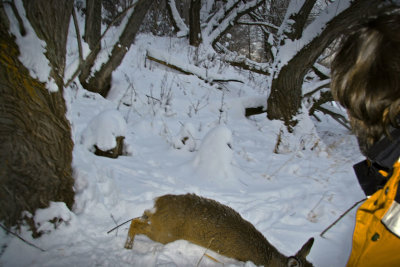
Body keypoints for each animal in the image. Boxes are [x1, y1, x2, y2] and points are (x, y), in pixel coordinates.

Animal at [124, 194, 312, 266]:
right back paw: (128, 246)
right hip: (165, 233)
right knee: (135, 223)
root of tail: (158, 202)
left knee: (140, 217)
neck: (268, 260)